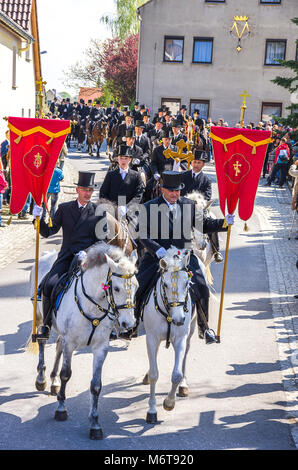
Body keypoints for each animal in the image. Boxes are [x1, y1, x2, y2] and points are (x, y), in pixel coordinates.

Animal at [30, 242, 137, 440]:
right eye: (116, 288)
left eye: (136, 286)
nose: (129, 324)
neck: (93, 304)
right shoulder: (71, 343)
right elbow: (66, 374)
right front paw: (61, 409)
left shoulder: (101, 348)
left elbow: (96, 386)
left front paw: (95, 424)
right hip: (40, 318)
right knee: (42, 341)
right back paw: (41, 379)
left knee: (58, 346)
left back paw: (53, 382)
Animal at [141, 248, 194, 424]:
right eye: (165, 284)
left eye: (187, 283)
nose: (179, 319)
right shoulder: (151, 338)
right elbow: (154, 374)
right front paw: (151, 411)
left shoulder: (181, 339)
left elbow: (176, 374)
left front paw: (169, 403)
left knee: (185, 356)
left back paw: (184, 386)